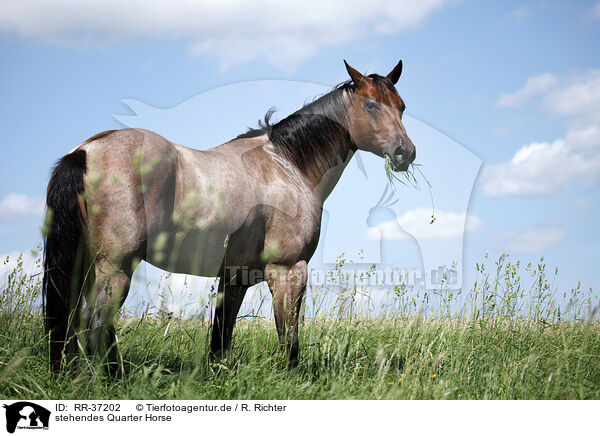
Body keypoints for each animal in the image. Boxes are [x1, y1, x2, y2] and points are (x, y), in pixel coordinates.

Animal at [43, 58, 418, 372]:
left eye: (402, 106)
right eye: (371, 105)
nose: (405, 153)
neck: (287, 164)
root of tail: (85, 152)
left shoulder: (235, 277)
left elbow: (221, 336)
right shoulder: (288, 270)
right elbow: (289, 336)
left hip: (85, 265)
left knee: (75, 321)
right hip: (116, 266)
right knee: (96, 324)